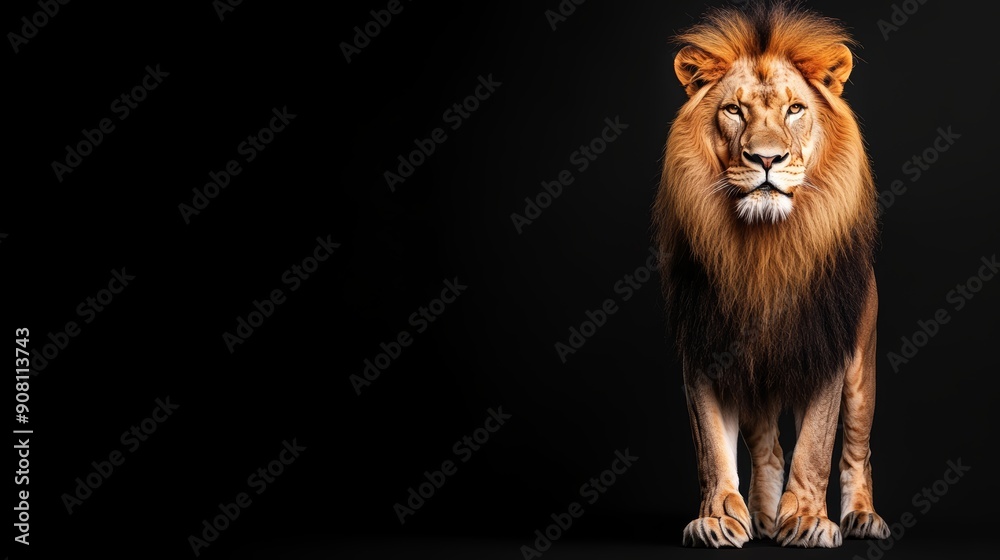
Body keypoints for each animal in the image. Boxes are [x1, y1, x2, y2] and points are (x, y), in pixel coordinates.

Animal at [653, 2, 890, 548]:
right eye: (734, 111)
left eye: (795, 110)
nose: (765, 158)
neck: (764, 248)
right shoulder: (706, 346)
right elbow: (712, 446)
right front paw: (719, 517)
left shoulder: (827, 348)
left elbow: (816, 447)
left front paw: (805, 519)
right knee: (768, 449)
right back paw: (762, 516)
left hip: (862, 370)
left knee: (856, 449)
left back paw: (862, 517)